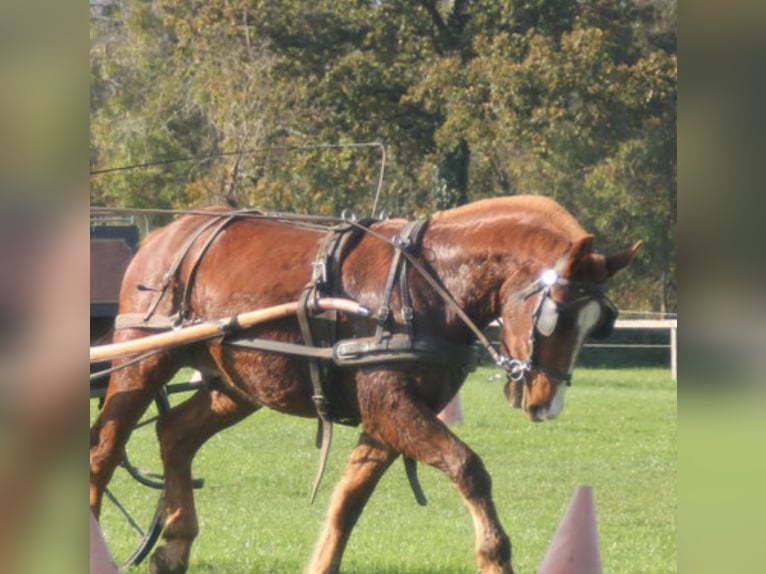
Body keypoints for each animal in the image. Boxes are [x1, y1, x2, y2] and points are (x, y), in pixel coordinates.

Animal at [90, 195, 640, 574]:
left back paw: (175, 543)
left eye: (600, 323)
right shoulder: (392, 405)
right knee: (103, 448)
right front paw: (494, 554)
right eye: (556, 317)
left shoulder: (389, 416)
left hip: (236, 384)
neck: (426, 283)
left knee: (174, 434)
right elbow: (468, 468)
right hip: (141, 359)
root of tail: (170, 231)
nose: (546, 403)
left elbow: (348, 500)